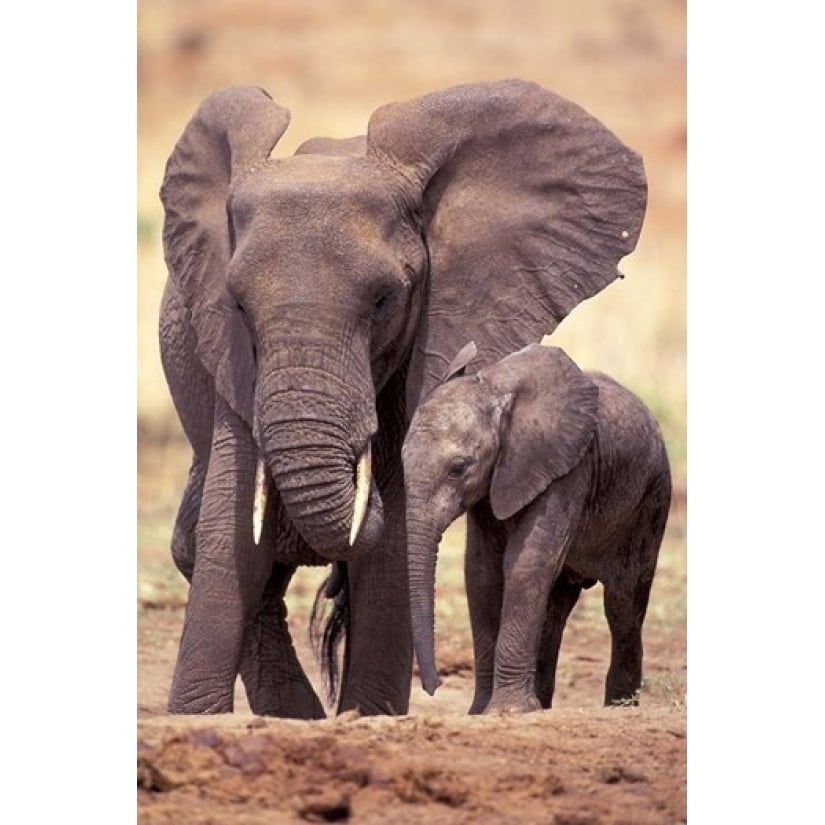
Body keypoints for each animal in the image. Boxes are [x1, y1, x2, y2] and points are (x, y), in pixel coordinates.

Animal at [154, 80, 644, 716]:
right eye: (236, 303)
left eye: (385, 299)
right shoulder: (233, 361)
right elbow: (230, 529)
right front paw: (193, 716)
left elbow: (388, 554)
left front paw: (369, 714)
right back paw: (297, 714)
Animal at [402, 342, 672, 716]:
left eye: (458, 468)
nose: (434, 687)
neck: (495, 388)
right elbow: (482, 573)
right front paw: (482, 712)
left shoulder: (569, 468)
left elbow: (526, 563)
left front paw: (507, 712)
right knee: (556, 610)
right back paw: (542, 705)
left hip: (650, 502)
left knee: (623, 603)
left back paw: (619, 709)